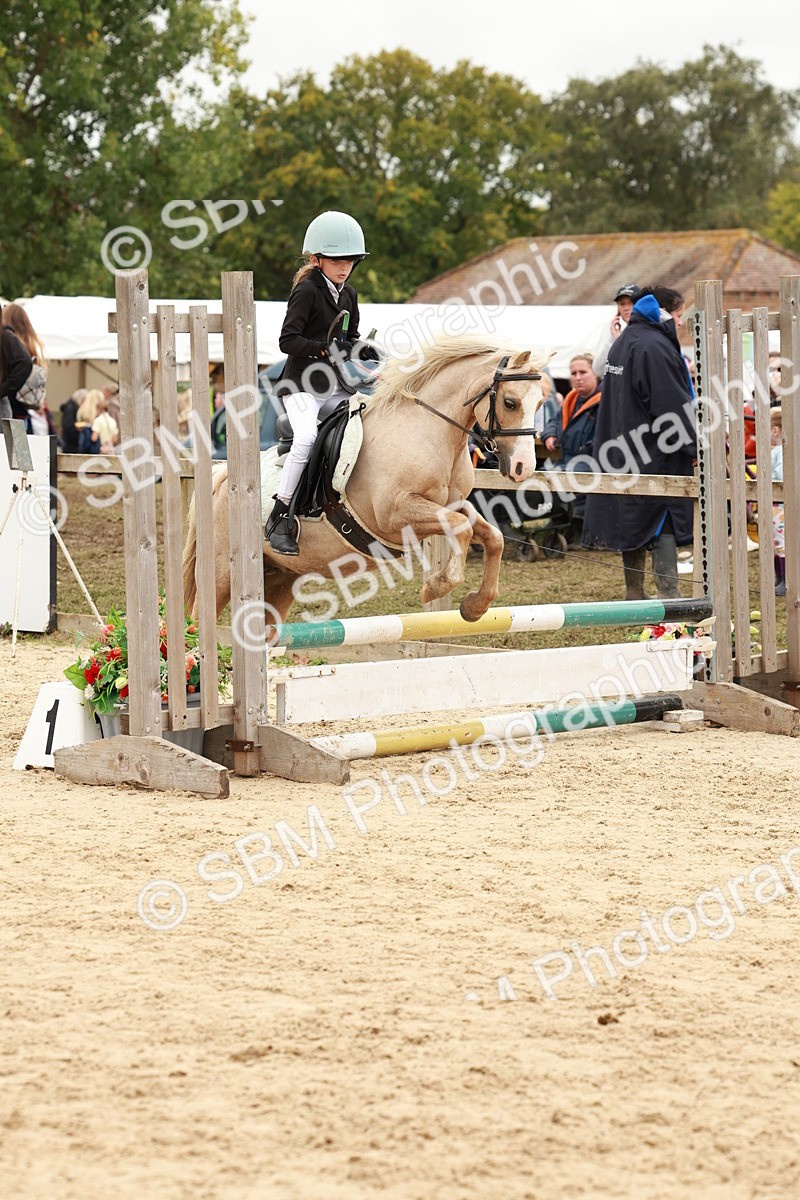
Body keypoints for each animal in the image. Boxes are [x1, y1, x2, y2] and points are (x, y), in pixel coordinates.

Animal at [183, 335, 552, 626]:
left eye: (541, 403)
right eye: (510, 402)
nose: (524, 467)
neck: (428, 430)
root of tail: (224, 478)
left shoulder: (450, 505)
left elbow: (492, 537)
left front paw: (475, 607)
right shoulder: (397, 514)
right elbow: (460, 528)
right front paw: (435, 587)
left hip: (279, 578)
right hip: (222, 575)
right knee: (198, 624)